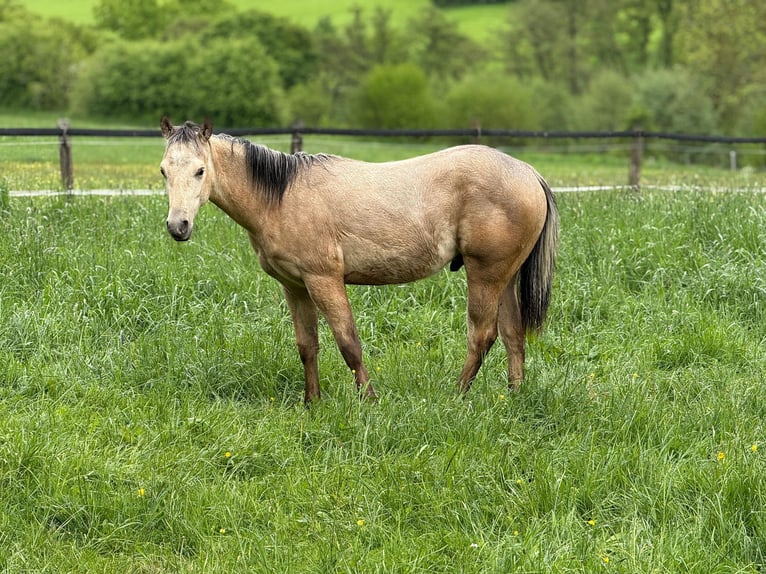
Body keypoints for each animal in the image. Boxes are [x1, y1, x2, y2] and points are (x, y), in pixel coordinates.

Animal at [160, 117, 559, 404]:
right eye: (164, 170)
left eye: (199, 170)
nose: (178, 226)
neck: (282, 196)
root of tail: (529, 173)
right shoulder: (295, 287)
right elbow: (308, 346)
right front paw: (312, 403)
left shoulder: (324, 279)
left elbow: (348, 342)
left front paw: (368, 400)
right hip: (504, 278)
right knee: (513, 335)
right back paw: (513, 397)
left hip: (485, 276)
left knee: (482, 335)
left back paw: (457, 396)